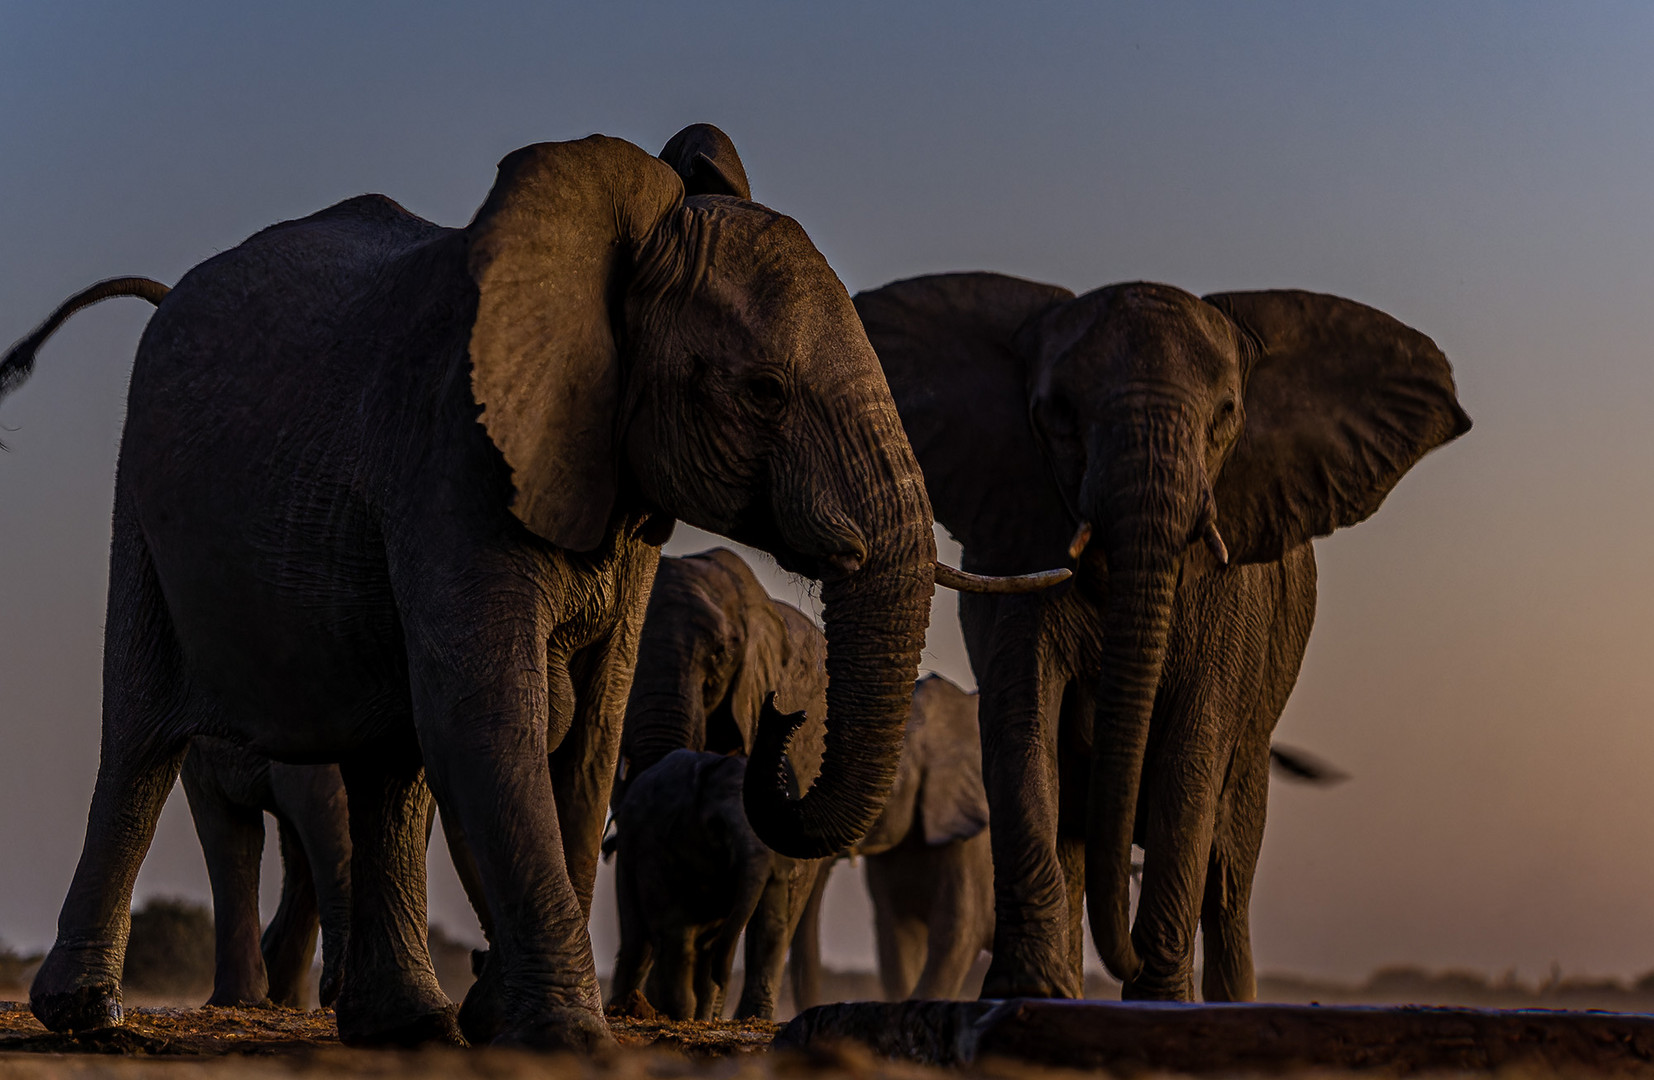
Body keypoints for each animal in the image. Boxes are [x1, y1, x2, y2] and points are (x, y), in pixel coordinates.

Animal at [608, 750, 827, 1018]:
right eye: (718, 826)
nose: (722, 977)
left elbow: (770, 922)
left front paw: (698, 1015)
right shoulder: (659, 842)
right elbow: (674, 928)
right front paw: (681, 1015)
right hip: (628, 851)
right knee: (639, 938)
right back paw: (628, 1008)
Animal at [860, 269, 1468, 1005]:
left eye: (1226, 414)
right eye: (1057, 414)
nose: (1123, 959)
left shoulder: (1235, 598)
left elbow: (1192, 750)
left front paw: (1158, 999)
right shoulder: (1017, 544)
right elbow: (1022, 727)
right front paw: (1029, 995)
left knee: (1229, 878)